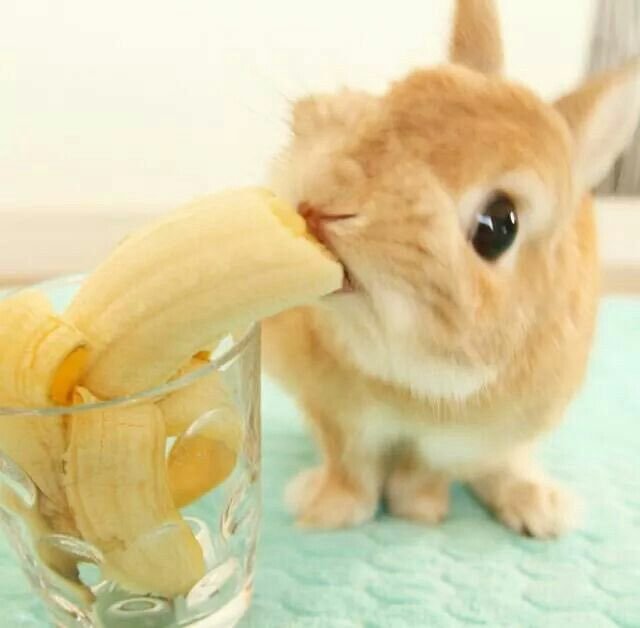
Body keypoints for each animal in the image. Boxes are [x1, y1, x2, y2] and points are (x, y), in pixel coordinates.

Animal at [262, 1, 640, 540]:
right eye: (397, 95)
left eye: (499, 225)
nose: (325, 201)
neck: (401, 377)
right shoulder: (335, 412)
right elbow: (349, 464)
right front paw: (326, 512)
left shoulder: (460, 439)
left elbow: (425, 471)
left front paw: (417, 512)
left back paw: (543, 509)